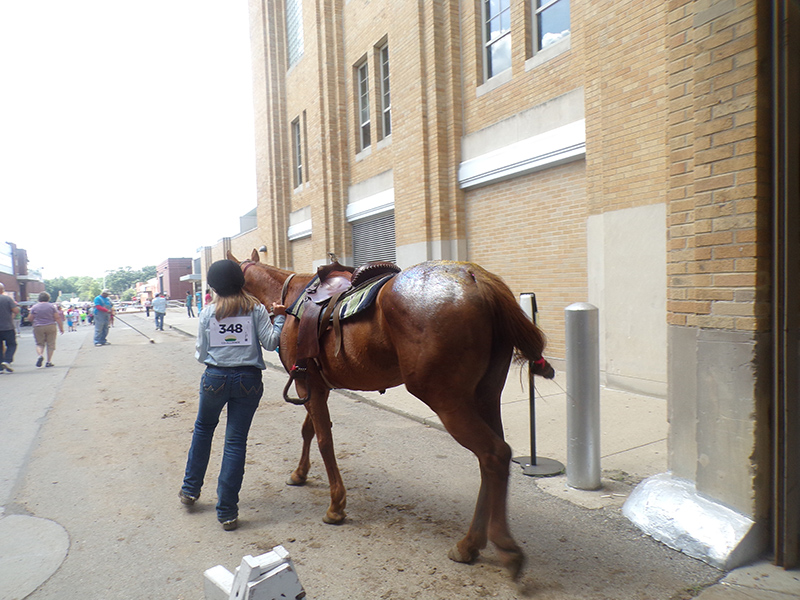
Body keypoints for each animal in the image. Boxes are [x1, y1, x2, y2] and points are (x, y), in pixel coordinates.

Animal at [231, 248, 552, 576]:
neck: (289, 297)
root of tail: (475, 277)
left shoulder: (308, 385)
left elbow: (323, 440)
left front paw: (336, 505)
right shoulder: (317, 386)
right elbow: (309, 431)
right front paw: (299, 474)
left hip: (447, 400)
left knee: (494, 454)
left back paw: (499, 545)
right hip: (486, 396)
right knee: (491, 461)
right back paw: (471, 544)